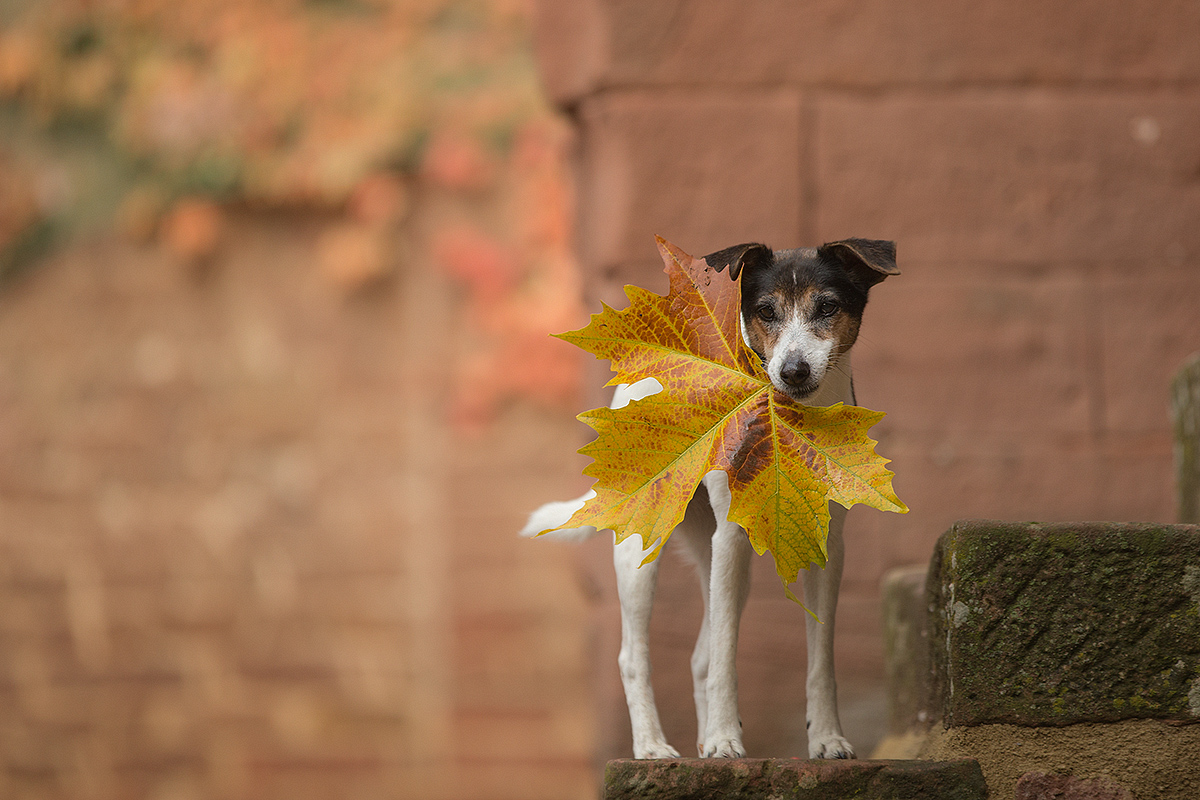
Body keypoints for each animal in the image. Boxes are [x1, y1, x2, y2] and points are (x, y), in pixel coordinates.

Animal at [520, 239, 897, 762]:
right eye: (765, 311)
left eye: (828, 307)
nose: (792, 371)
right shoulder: (732, 539)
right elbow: (724, 656)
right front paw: (723, 737)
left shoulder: (825, 547)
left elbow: (820, 658)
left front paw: (826, 736)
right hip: (643, 546)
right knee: (634, 655)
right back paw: (652, 745)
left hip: (711, 550)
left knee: (699, 654)